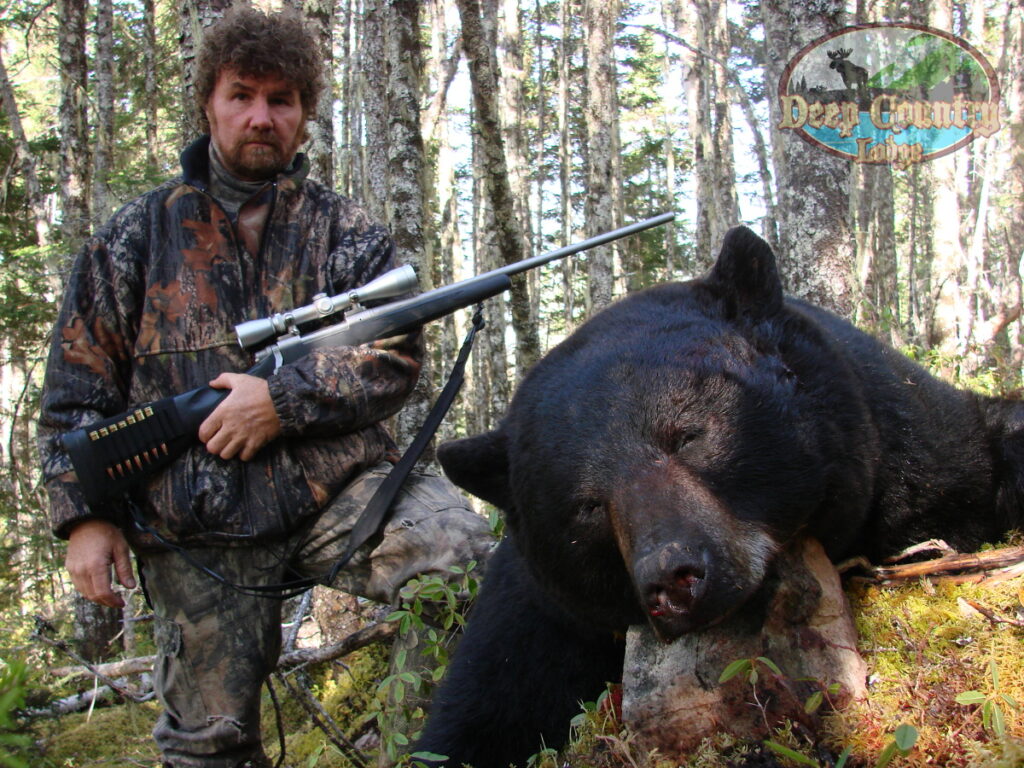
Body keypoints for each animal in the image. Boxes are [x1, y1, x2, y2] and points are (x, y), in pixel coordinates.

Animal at [414, 226, 1024, 768]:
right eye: (585, 505)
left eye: (687, 435)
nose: (672, 580)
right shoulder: (537, 617)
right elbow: (474, 716)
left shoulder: (914, 441)